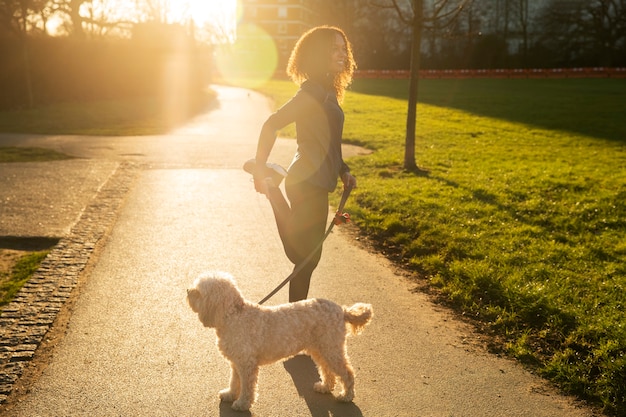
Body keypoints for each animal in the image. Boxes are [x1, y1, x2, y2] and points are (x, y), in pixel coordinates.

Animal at [184, 270, 370, 410]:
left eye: (199, 291)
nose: (187, 291)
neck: (234, 315)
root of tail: (341, 310)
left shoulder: (247, 365)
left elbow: (247, 387)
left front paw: (242, 404)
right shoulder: (237, 363)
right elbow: (234, 381)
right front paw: (230, 394)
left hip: (331, 350)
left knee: (347, 373)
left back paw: (346, 396)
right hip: (320, 350)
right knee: (327, 371)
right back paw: (325, 387)